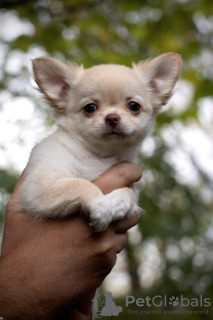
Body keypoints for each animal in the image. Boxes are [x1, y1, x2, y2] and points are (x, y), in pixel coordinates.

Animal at [19, 53, 181, 231]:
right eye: (89, 107)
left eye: (134, 106)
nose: (112, 118)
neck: (101, 156)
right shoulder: (40, 185)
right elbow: (80, 183)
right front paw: (101, 205)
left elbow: (131, 191)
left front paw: (119, 202)